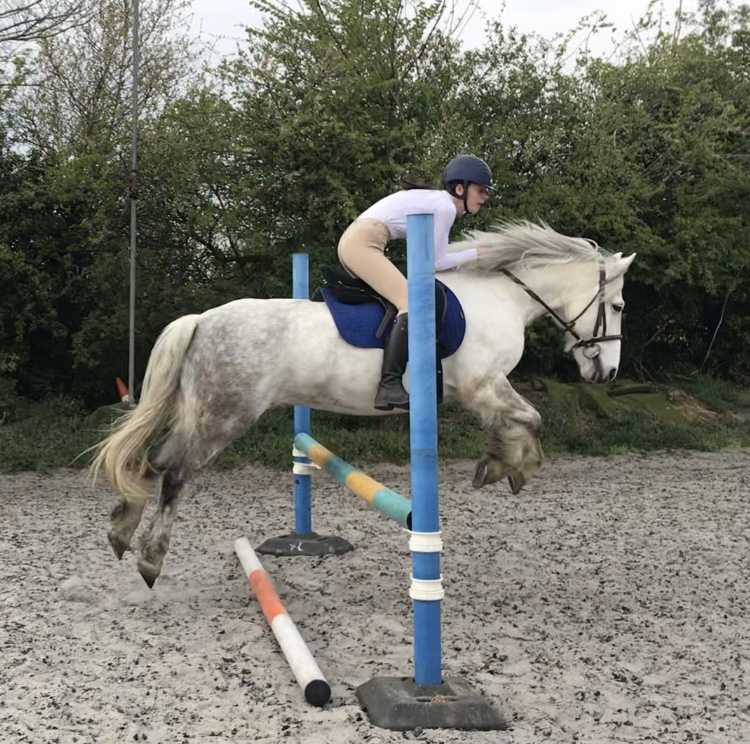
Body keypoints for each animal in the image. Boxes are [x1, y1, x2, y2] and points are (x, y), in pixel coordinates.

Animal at [91, 221, 636, 586]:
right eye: (618, 306)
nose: (607, 373)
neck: (499, 298)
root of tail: (202, 320)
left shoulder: (481, 390)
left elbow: (522, 419)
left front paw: (504, 464)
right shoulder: (482, 384)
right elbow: (531, 418)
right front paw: (509, 466)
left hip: (202, 410)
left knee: (154, 459)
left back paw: (121, 531)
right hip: (225, 415)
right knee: (176, 471)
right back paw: (150, 559)